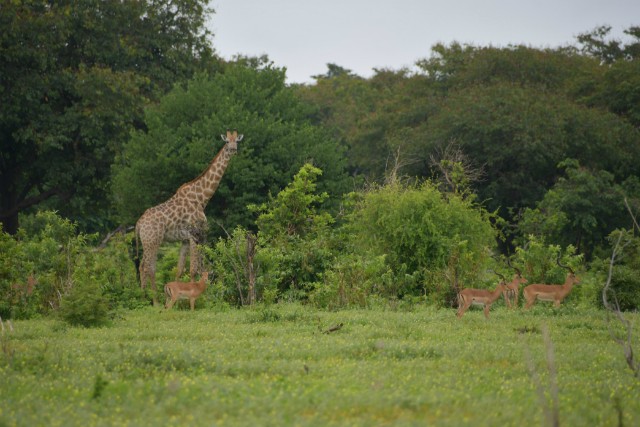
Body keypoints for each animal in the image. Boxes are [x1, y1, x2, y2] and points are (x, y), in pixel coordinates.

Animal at [135, 129, 242, 302]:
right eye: (227, 141)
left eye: (237, 141)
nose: (233, 149)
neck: (202, 198)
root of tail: (138, 224)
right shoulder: (195, 234)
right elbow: (194, 269)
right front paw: (196, 296)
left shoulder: (185, 239)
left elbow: (179, 269)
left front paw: (177, 296)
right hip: (153, 241)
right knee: (148, 267)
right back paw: (154, 301)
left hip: (147, 242)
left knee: (142, 266)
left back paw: (143, 297)